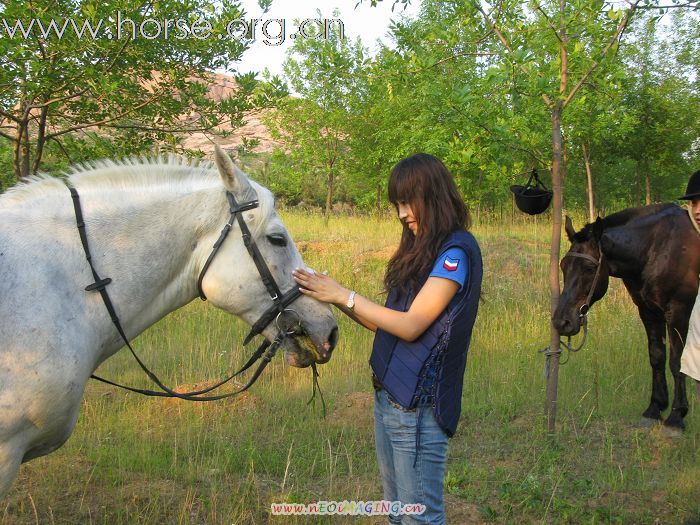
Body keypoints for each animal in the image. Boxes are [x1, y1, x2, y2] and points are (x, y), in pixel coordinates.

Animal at [552, 203, 700, 428]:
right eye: (563, 265)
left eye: (590, 268)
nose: (562, 322)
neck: (657, 249)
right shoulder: (649, 311)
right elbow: (657, 356)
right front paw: (655, 407)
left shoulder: (678, 311)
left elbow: (677, 362)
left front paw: (677, 415)